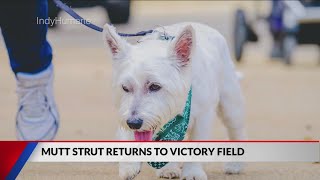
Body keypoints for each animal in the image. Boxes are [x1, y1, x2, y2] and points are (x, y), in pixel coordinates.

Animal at [104, 21, 246, 179]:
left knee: (236, 131)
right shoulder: (125, 113)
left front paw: (193, 172)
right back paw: (169, 169)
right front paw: (129, 166)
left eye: (155, 86)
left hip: (230, 105)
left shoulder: (202, 117)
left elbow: (197, 144)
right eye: (125, 88)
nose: (134, 123)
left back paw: (235, 165)